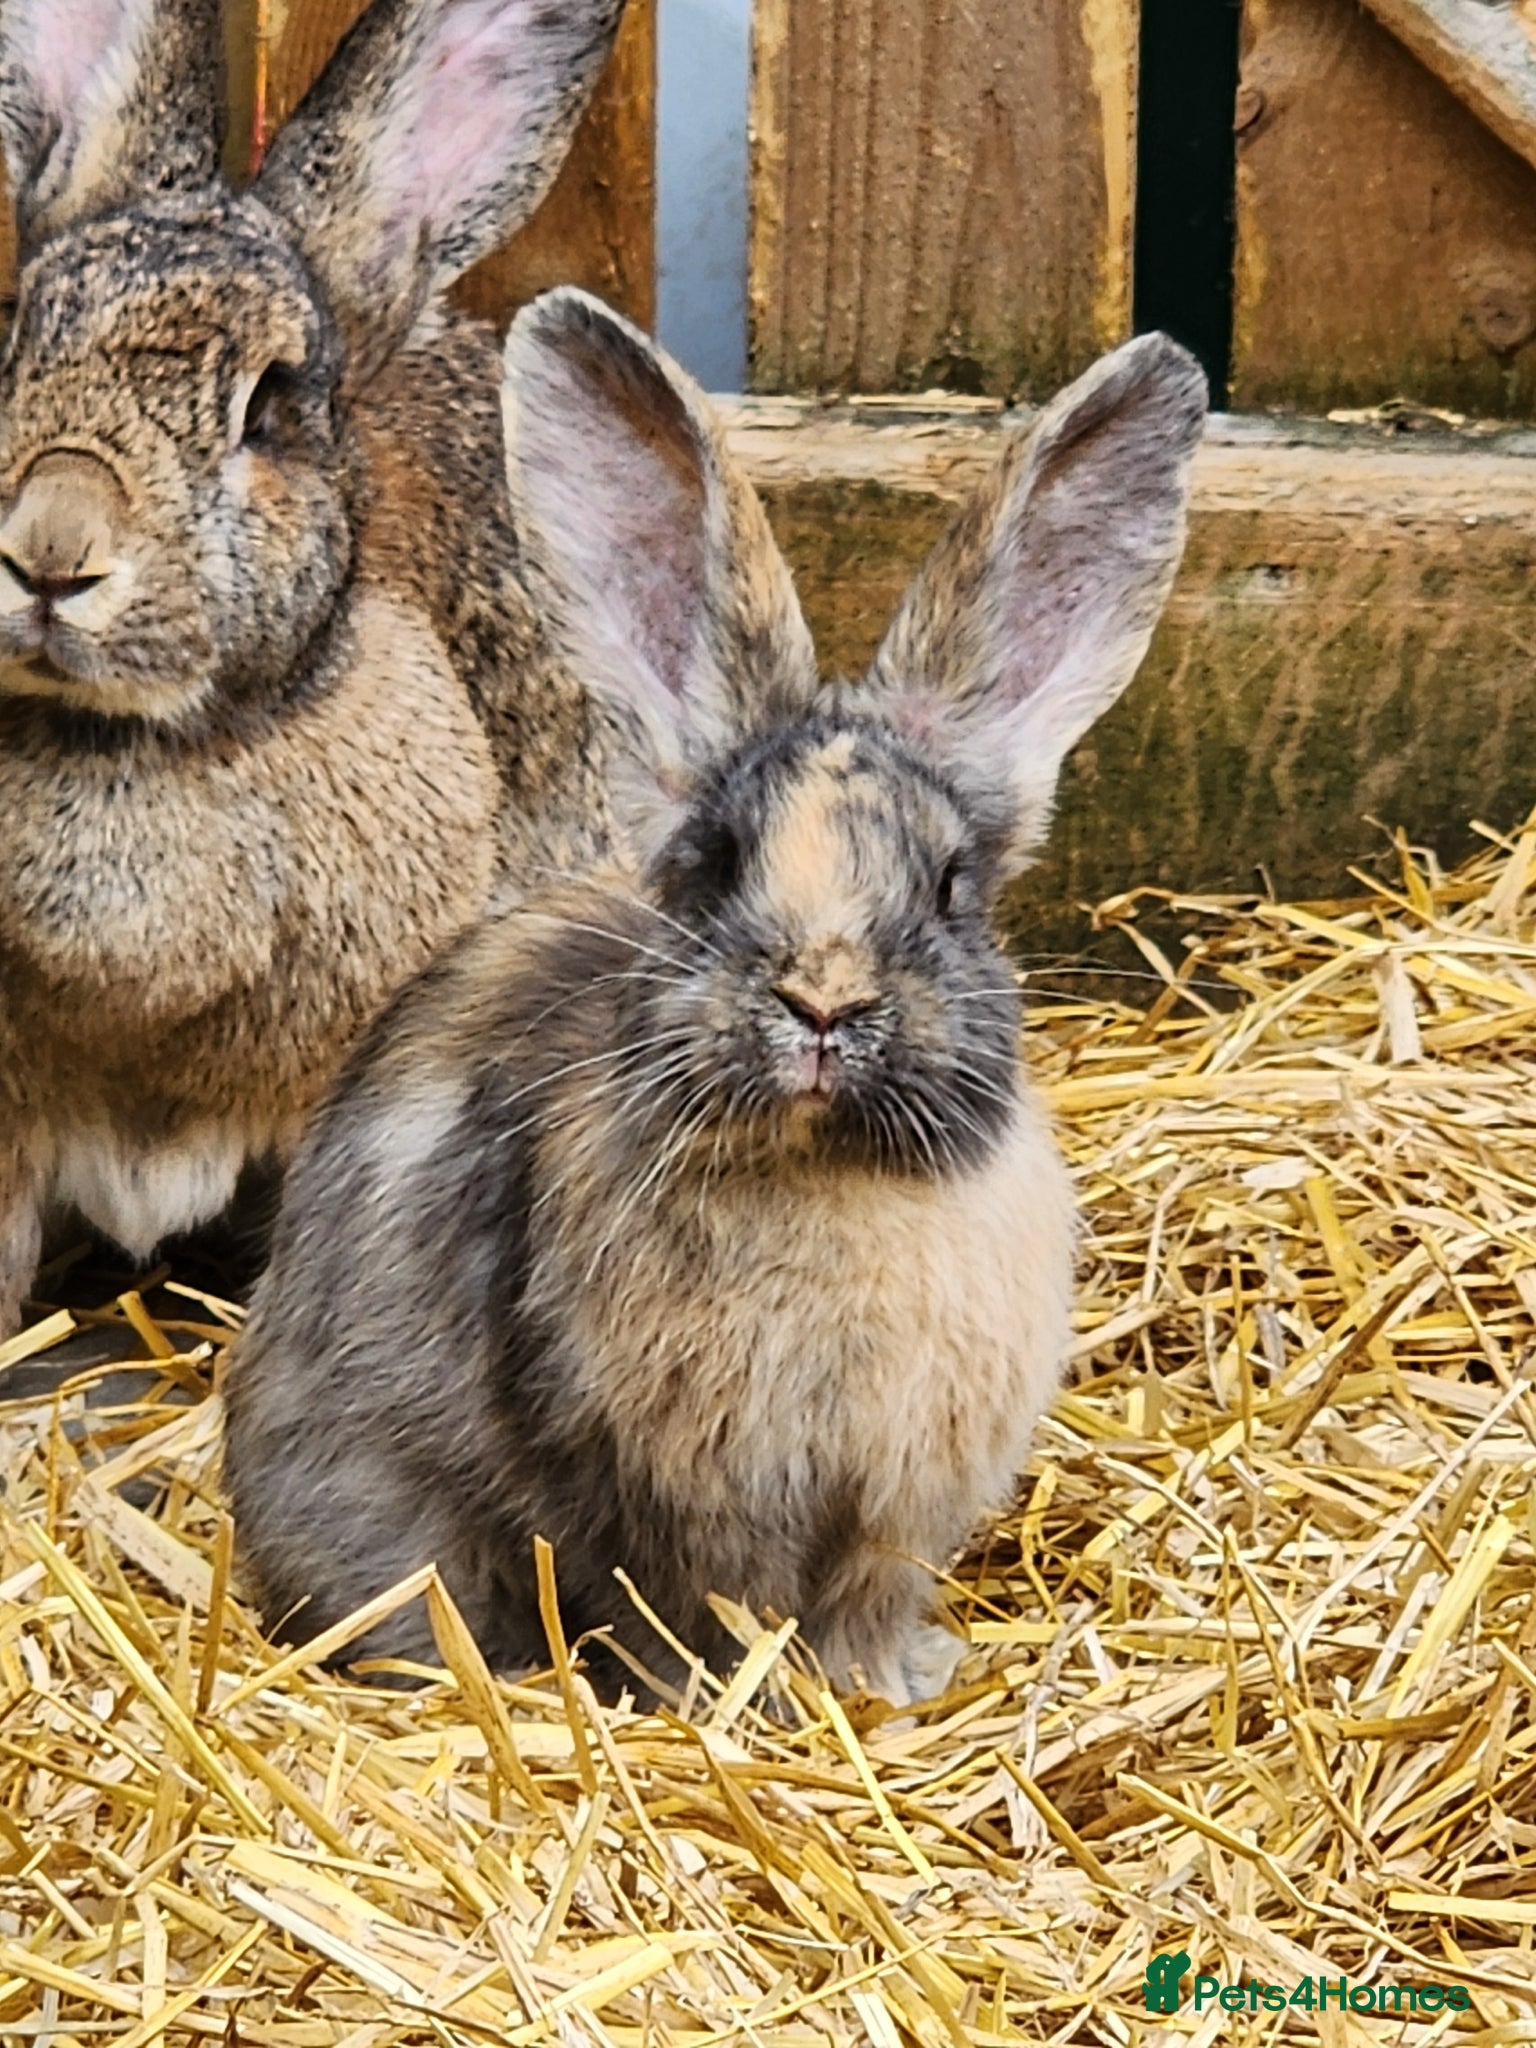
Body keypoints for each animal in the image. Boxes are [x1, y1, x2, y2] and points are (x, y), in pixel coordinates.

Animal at [223, 288, 1207, 1707]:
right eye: (715, 861)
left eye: (953, 886)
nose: (824, 1004)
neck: (826, 1176)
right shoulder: (666, 1495)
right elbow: (697, 1607)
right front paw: (723, 1703)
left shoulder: (891, 1507)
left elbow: (862, 1602)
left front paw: (891, 1684)